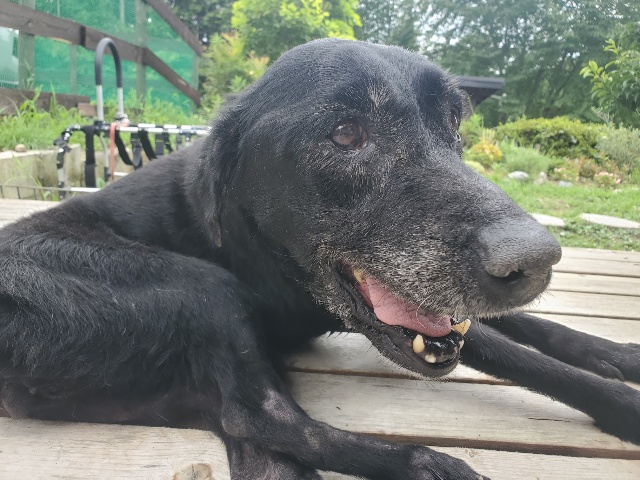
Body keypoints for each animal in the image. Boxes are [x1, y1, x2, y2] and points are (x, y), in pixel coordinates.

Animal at [1, 39, 639, 479]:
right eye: (345, 134)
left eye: (453, 123)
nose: (534, 260)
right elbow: (519, 352)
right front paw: (622, 399)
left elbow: (532, 333)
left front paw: (616, 357)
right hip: (200, 287)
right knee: (261, 417)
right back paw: (428, 463)